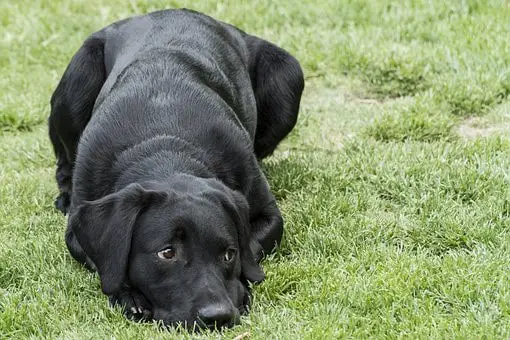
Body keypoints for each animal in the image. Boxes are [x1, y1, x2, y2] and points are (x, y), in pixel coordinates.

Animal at [47, 8, 302, 330]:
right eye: (167, 253)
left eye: (229, 254)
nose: (218, 315)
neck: (165, 147)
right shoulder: (78, 228)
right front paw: (129, 296)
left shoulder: (267, 213)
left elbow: (252, 248)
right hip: (78, 77)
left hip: (288, 72)